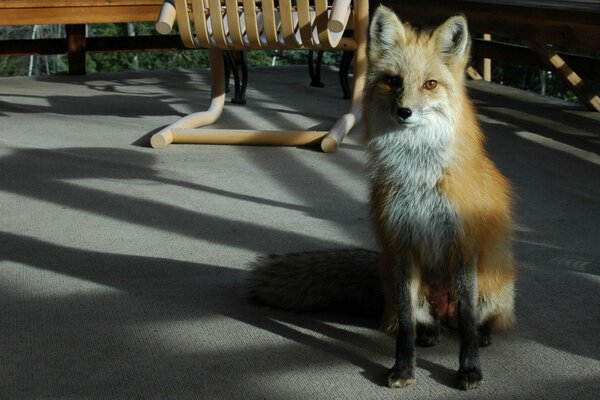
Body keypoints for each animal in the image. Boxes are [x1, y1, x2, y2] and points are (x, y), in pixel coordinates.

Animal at [248, 6, 516, 392]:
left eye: (430, 84)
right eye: (392, 80)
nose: (404, 112)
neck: (419, 175)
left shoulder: (463, 246)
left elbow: (466, 322)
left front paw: (469, 369)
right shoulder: (402, 244)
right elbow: (404, 324)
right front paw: (403, 367)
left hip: (493, 284)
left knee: (475, 321)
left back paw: (481, 335)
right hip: (398, 276)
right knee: (421, 321)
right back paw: (429, 334)